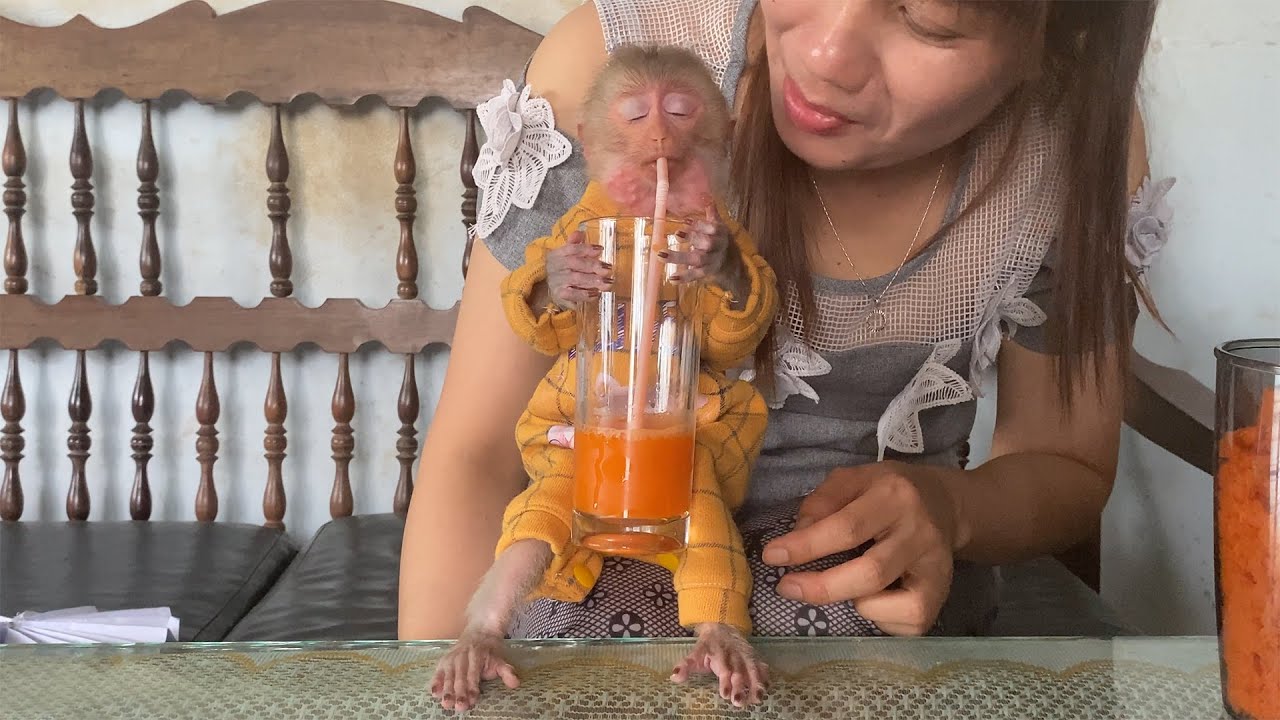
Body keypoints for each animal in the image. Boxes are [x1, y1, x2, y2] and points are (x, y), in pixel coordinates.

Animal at [429, 45, 780, 712]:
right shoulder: (575, 218)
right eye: (638, 112)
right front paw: (562, 278)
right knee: (534, 530)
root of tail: (627, 543)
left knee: (707, 538)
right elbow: (542, 316)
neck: (645, 218)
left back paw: (719, 636)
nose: (662, 135)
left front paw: (715, 259)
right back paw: (480, 640)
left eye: (680, 107)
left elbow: (732, 332)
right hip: (568, 471)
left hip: (686, 488)